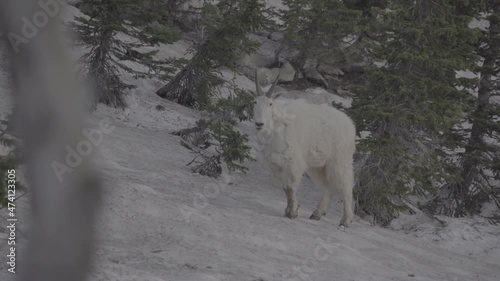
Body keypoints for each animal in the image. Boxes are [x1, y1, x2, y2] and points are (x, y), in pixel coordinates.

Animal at [254, 71, 356, 226]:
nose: (259, 123)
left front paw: (292, 212)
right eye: (254, 102)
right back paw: (316, 214)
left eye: (270, 104)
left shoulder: (293, 162)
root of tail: (350, 125)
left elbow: (291, 188)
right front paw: (289, 210)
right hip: (319, 166)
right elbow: (285, 188)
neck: (275, 128)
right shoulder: (278, 164)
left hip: (340, 161)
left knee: (346, 187)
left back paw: (345, 220)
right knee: (328, 187)